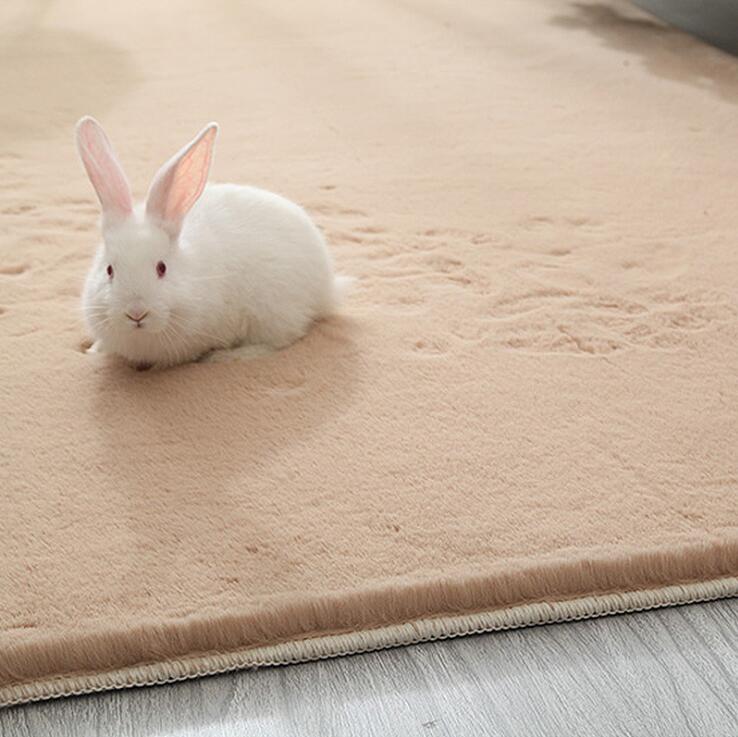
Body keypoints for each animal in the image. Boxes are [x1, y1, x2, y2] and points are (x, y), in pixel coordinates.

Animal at [76, 116, 350, 369]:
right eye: (109, 270)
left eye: (162, 268)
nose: (136, 313)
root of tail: (327, 286)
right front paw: (94, 350)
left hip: (273, 311)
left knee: (279, 341)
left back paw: (225, 357)